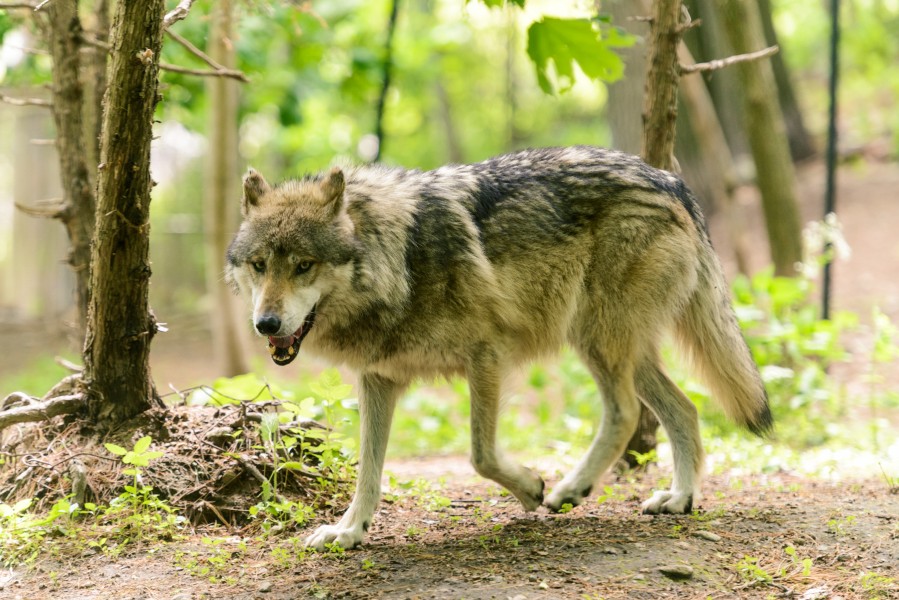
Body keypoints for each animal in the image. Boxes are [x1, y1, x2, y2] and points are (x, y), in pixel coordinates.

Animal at [225, 146, 771, 550]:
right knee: (685, 409)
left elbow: (481, 455)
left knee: (625, 414)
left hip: (596, 339)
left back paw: (571, 489)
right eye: (259, 265)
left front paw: (531, 487)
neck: (399, 259)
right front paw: (349, 531)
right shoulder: (378, 379)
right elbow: (369, 471)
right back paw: (679, 499)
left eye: (304, 265)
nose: (265, 324)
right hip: (618, 348)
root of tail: (670, 181)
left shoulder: (486, 356)